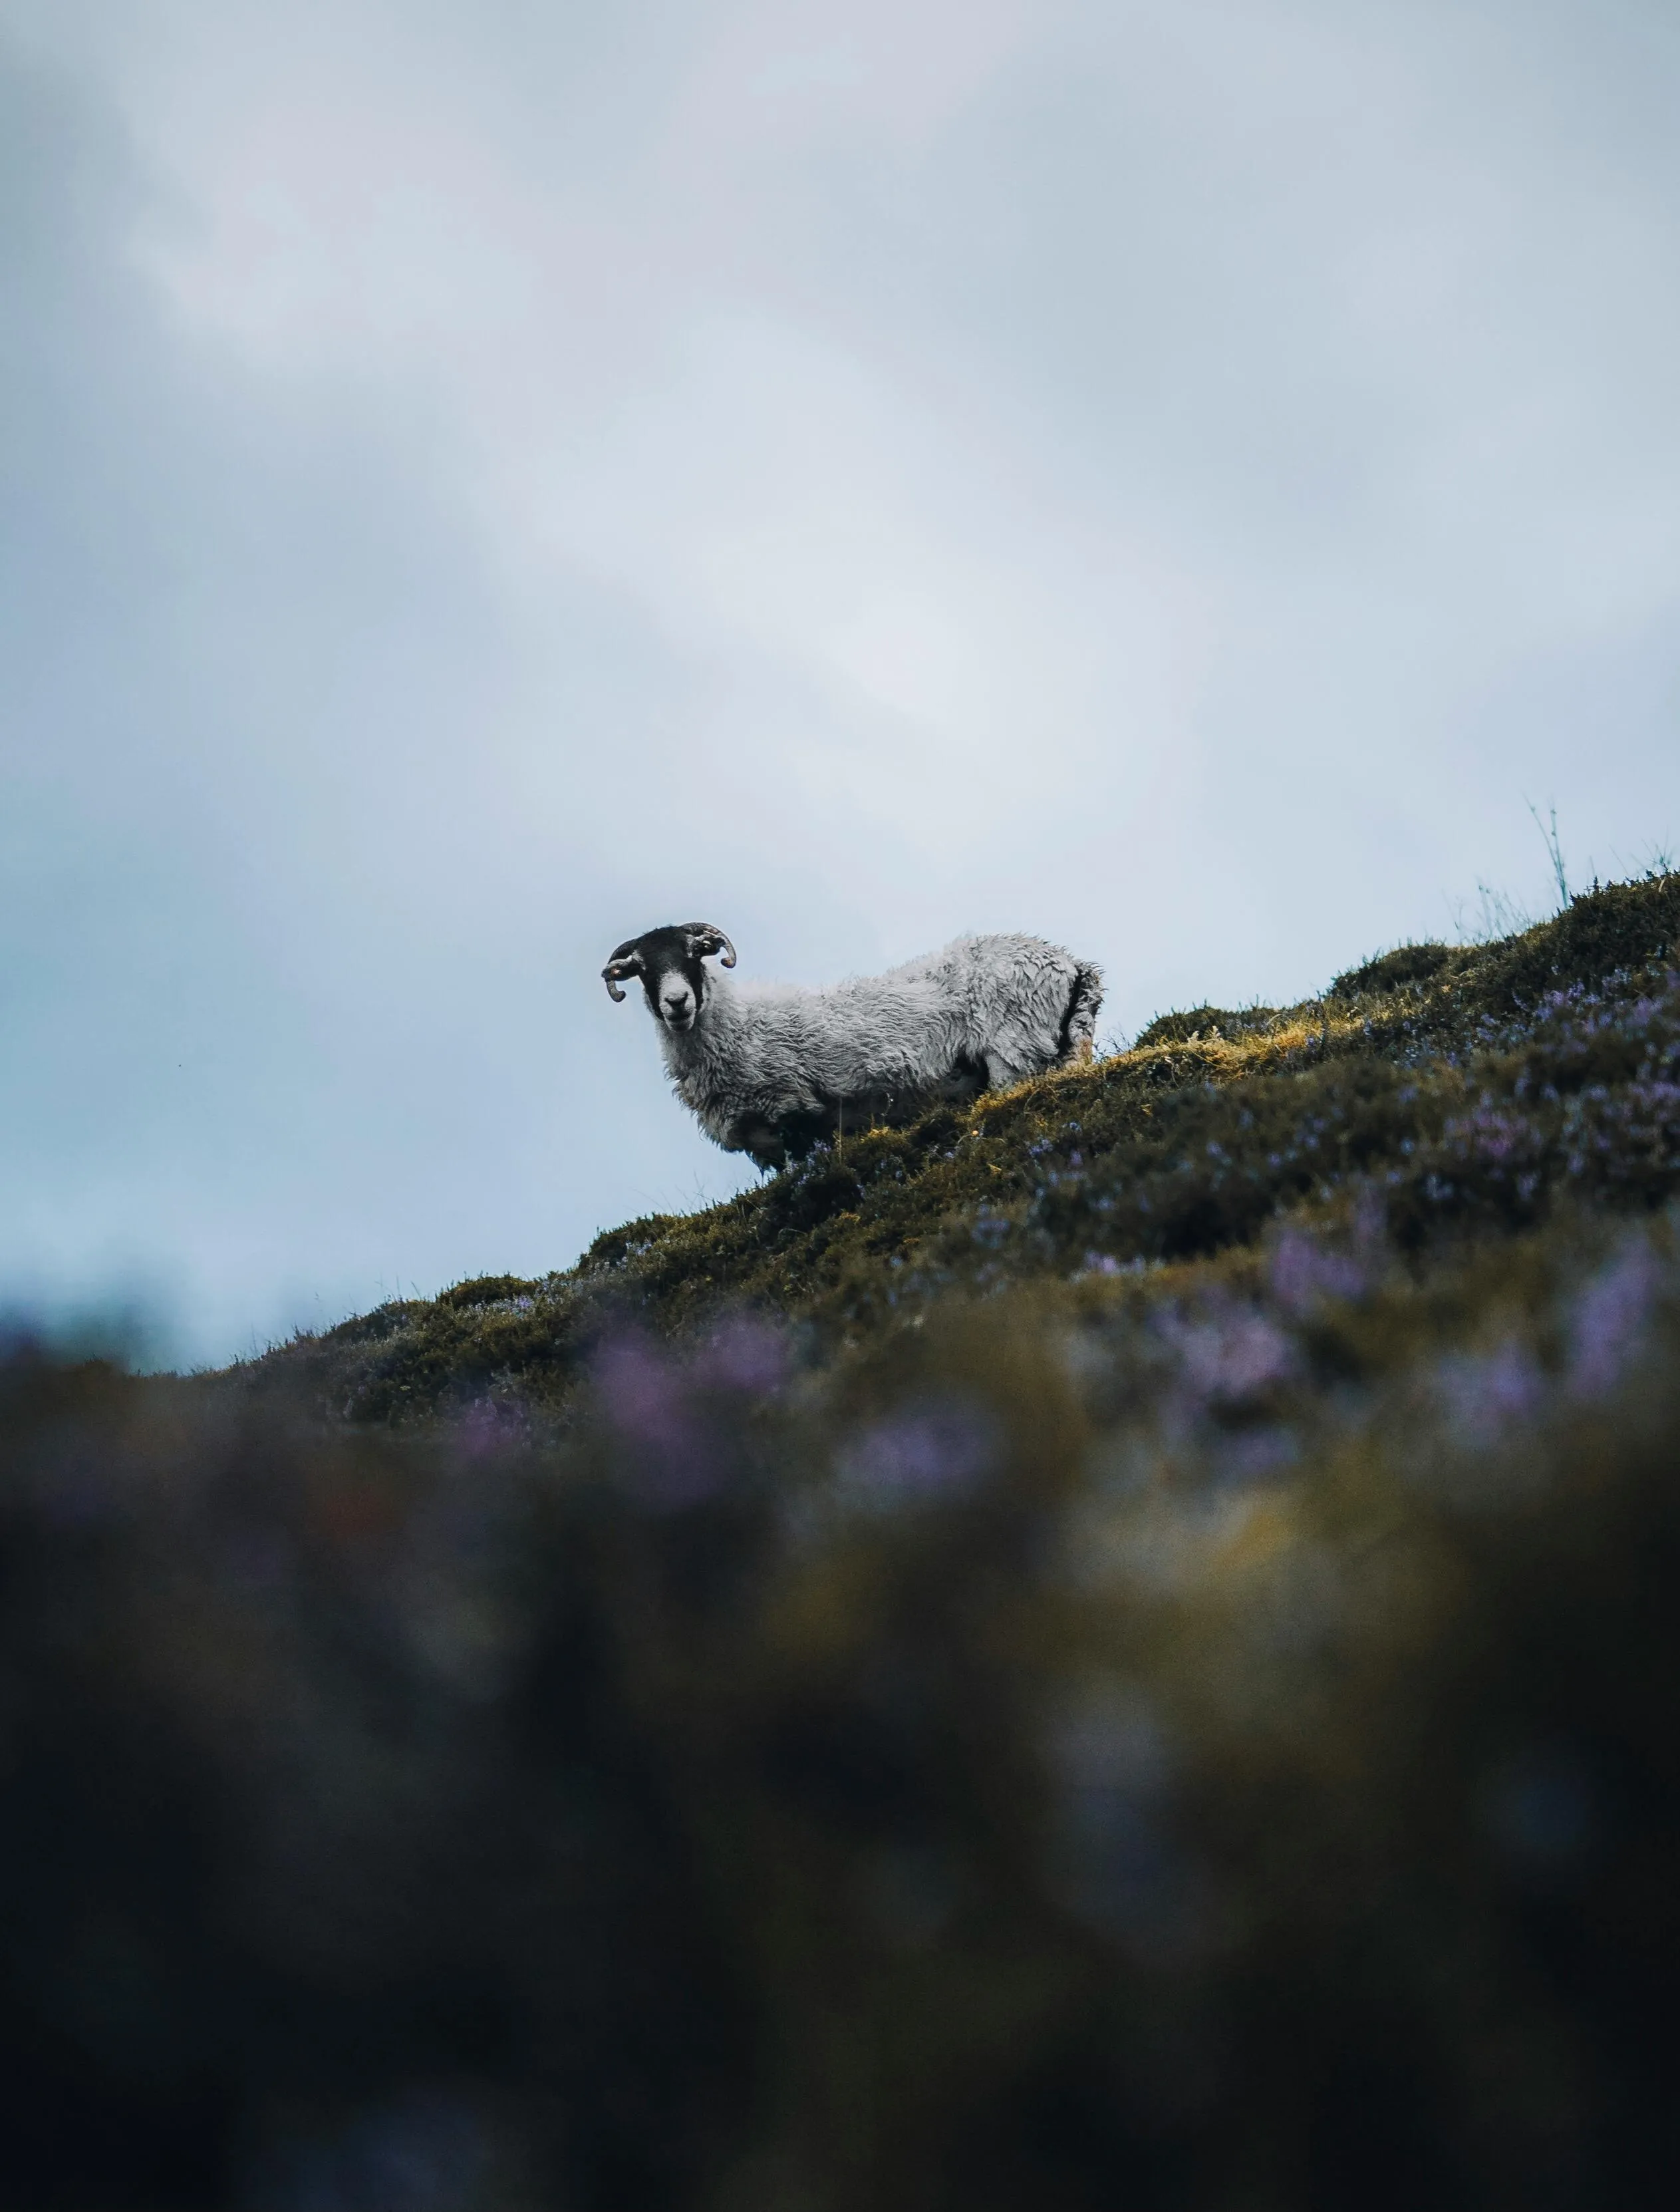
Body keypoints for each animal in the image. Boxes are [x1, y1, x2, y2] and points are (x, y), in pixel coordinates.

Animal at [602, 923, 1103, 1170]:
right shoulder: (765, 1145)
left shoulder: (792, 1112)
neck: (736, 1025)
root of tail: (1070, 963)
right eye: (642, 968)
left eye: (693, 953)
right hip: (1063, 1046)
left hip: (1014, 1051)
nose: (676, 1002)